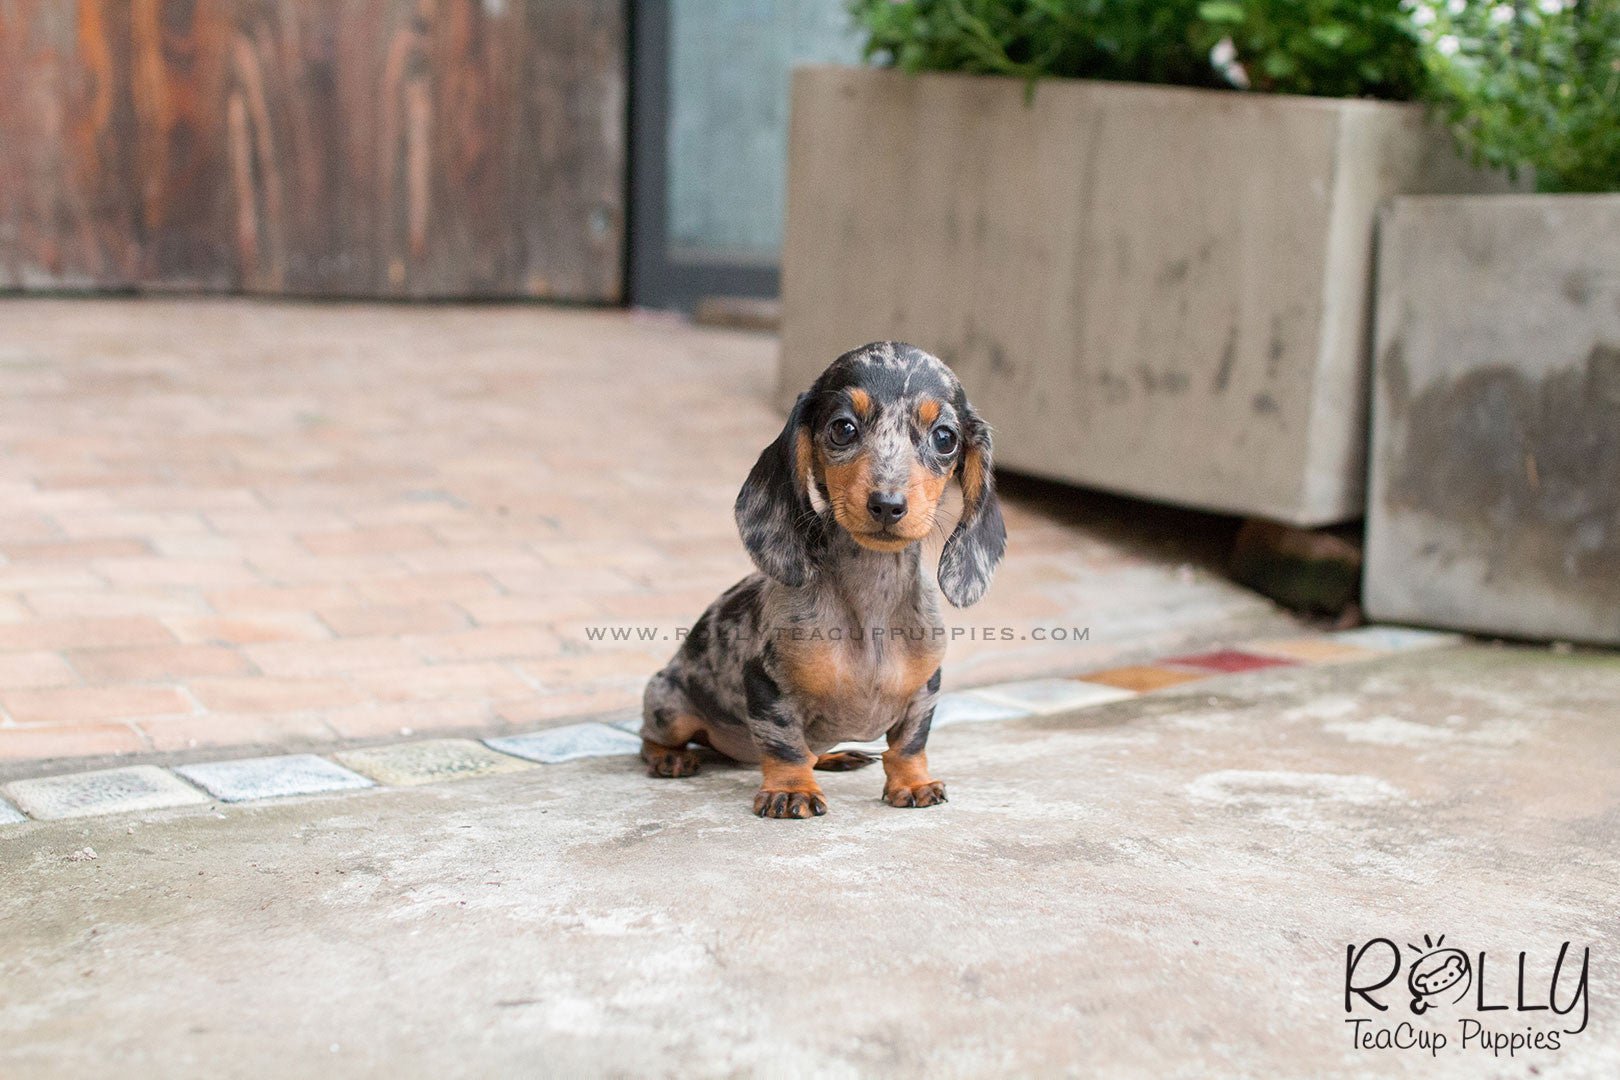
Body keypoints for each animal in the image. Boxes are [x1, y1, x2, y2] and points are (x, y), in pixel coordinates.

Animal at [638, 341, 1004, 816]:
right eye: (843, 428)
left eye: (945, 438)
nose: (887, 505)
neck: (871, 602)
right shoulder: (766, 683)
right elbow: (785, 746)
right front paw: (792, 790)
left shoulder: (927, 687)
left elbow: (909, 743)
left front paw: (913, 783)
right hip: (670, 707)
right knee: (648, 737)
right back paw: (669, 758)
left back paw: (835, 755)